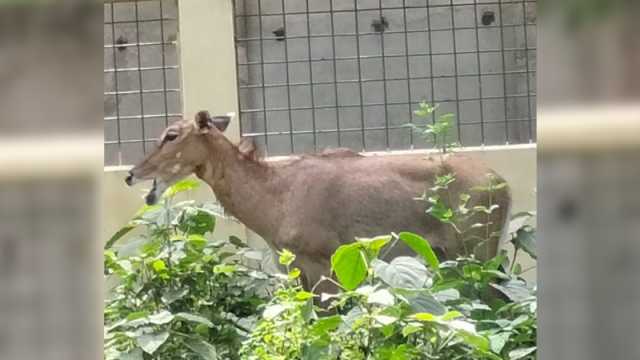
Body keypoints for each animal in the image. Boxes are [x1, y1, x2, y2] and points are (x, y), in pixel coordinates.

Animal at [127, 111, 512, 292]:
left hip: (475, 252)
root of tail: (503, 183)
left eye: (171, 135)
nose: (131, 174)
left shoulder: (323, 263)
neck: (275, 196)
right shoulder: (293, 267)